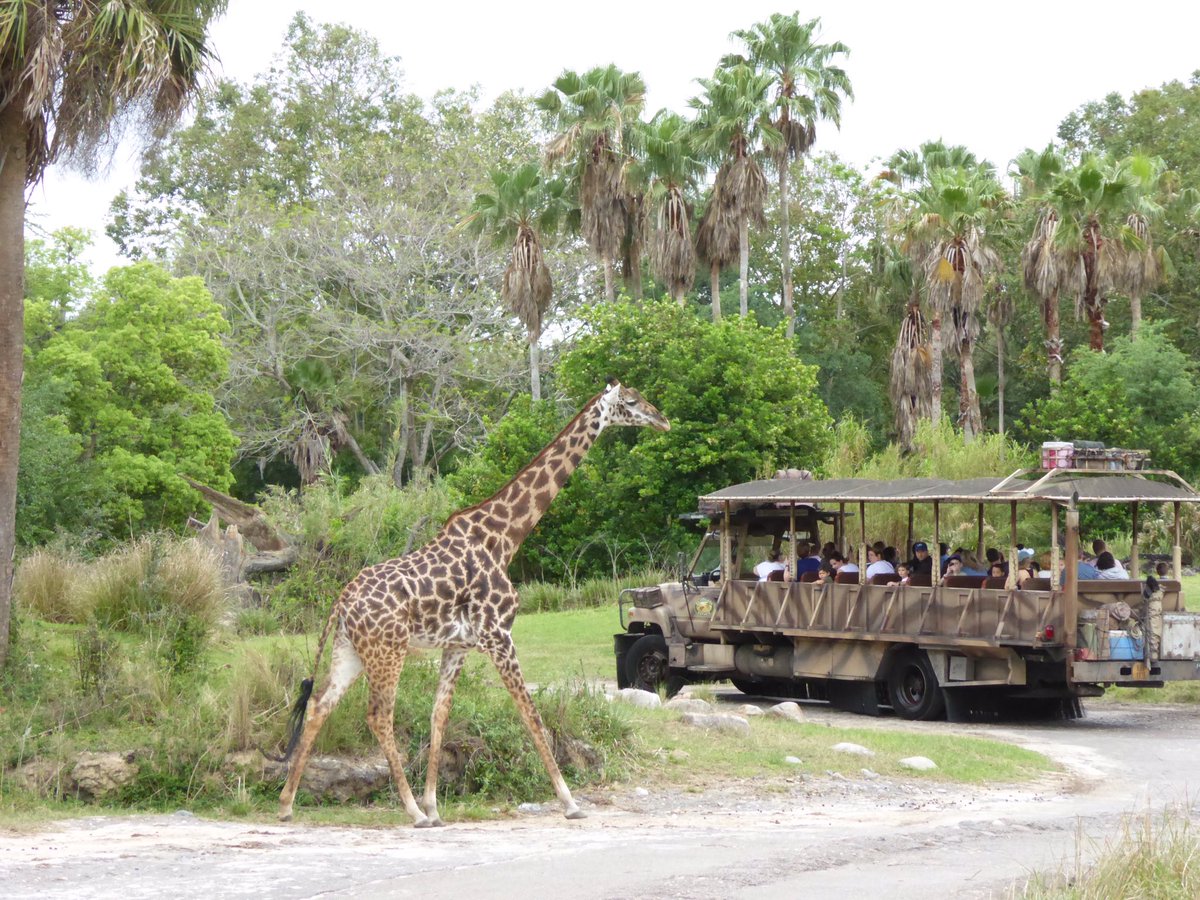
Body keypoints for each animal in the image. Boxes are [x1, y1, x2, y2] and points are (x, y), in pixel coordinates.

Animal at [277, 380, 670, 826]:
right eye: (632, 402)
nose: (663, 420)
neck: (505, 538)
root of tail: (341, 602)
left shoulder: (458, 646)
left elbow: (439, 716)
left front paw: (436, 805)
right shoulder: (499, 635)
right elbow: (530, 713)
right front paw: (570, 802)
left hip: (351, 651)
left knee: (319, 706)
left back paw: (287, 804)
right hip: (388, 650)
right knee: (378, 716)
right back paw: (410, 810)